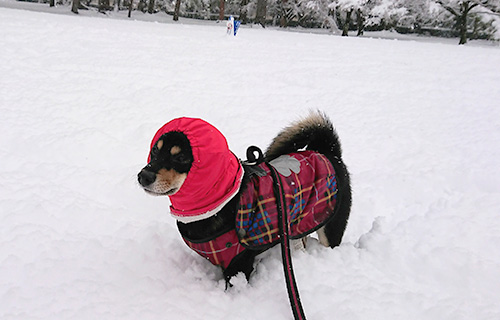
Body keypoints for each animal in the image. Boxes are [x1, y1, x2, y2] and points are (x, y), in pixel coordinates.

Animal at [137, 112, 352, 282]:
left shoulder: (239, 263)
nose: (143, 176)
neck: (221, 203)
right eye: (154, 150)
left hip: (331, 228)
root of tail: (328, 152)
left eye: (181, 157)